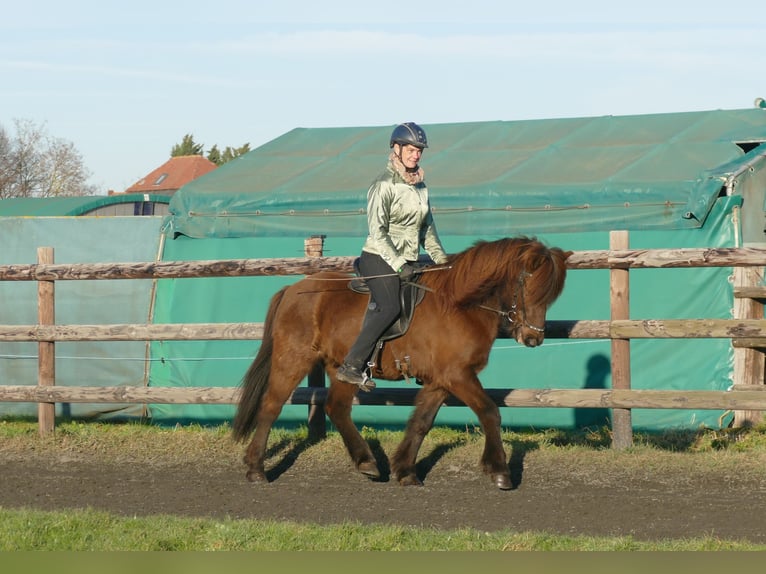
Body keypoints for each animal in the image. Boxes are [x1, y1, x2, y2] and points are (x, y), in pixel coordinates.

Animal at [232, 236, 568, 492]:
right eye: (529, 288)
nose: (533, 338)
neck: (459, 305)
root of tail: (292, 290)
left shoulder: (440, 380)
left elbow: (421, 422)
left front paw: (405, 471)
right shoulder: (458, 375)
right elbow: (489, 411)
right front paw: (499, 471)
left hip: (341, 367)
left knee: (336, 407)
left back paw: (367, 462)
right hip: (293, 358)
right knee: (271, 406)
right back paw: (256, 469)